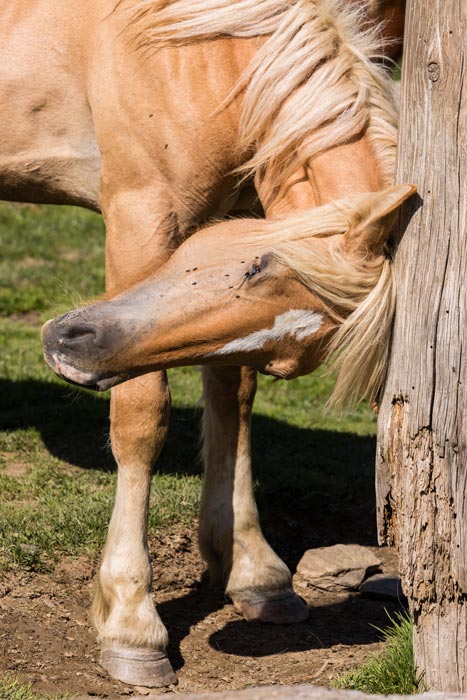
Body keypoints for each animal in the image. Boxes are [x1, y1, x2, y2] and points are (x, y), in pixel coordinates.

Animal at [2, 0, 406, 688]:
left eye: (282, 359)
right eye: (256, 265)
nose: (68, 342)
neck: (198, 53)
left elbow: (233, 401)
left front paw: (255, 573)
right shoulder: (139, 214)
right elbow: (142, 416)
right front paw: (131, 621)